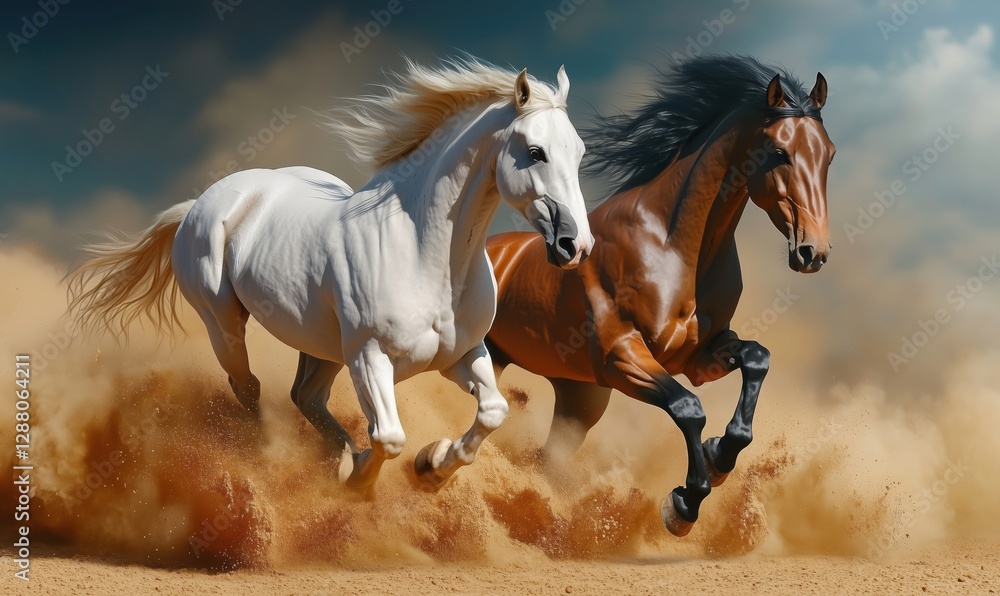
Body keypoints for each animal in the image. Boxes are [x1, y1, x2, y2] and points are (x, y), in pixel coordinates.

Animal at [67, 57, 594, 490]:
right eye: (535, 151)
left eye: (580, 152)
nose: (576, 245)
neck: (425, 255)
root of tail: (201, 203)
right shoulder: (370, 357)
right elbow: (389, 437)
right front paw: (358, 482)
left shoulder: (461, 354)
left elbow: (493, 412)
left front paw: (430, 468)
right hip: (224, 322)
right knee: (249, 387)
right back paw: (272, 459)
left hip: (320, 346)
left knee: (305, 397)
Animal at [485, 55, 834, 536]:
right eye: (780, 152)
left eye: (829, 154)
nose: (813, 252)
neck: (673, 246)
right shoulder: (621, 357)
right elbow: (688, 408)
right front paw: (684, 503)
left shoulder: (700, 355)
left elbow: (757, 358)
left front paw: (720, 455)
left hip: (579, 399)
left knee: (548, 462)